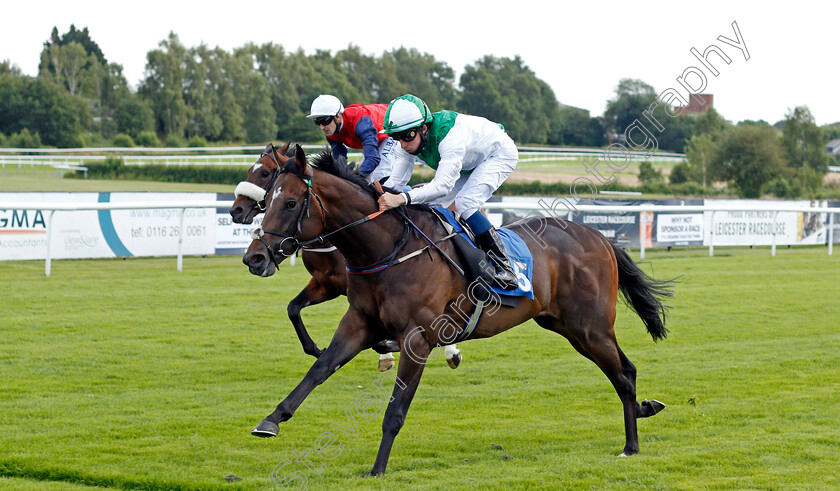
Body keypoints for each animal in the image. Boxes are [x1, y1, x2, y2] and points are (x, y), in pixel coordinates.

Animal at [231, 144, 466, 370]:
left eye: (265, 173)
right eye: (250, 170)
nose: (236, 210)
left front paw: (388, 351)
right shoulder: (325, 284)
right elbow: (293, 308)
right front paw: (317, 350)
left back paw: (451, 352)